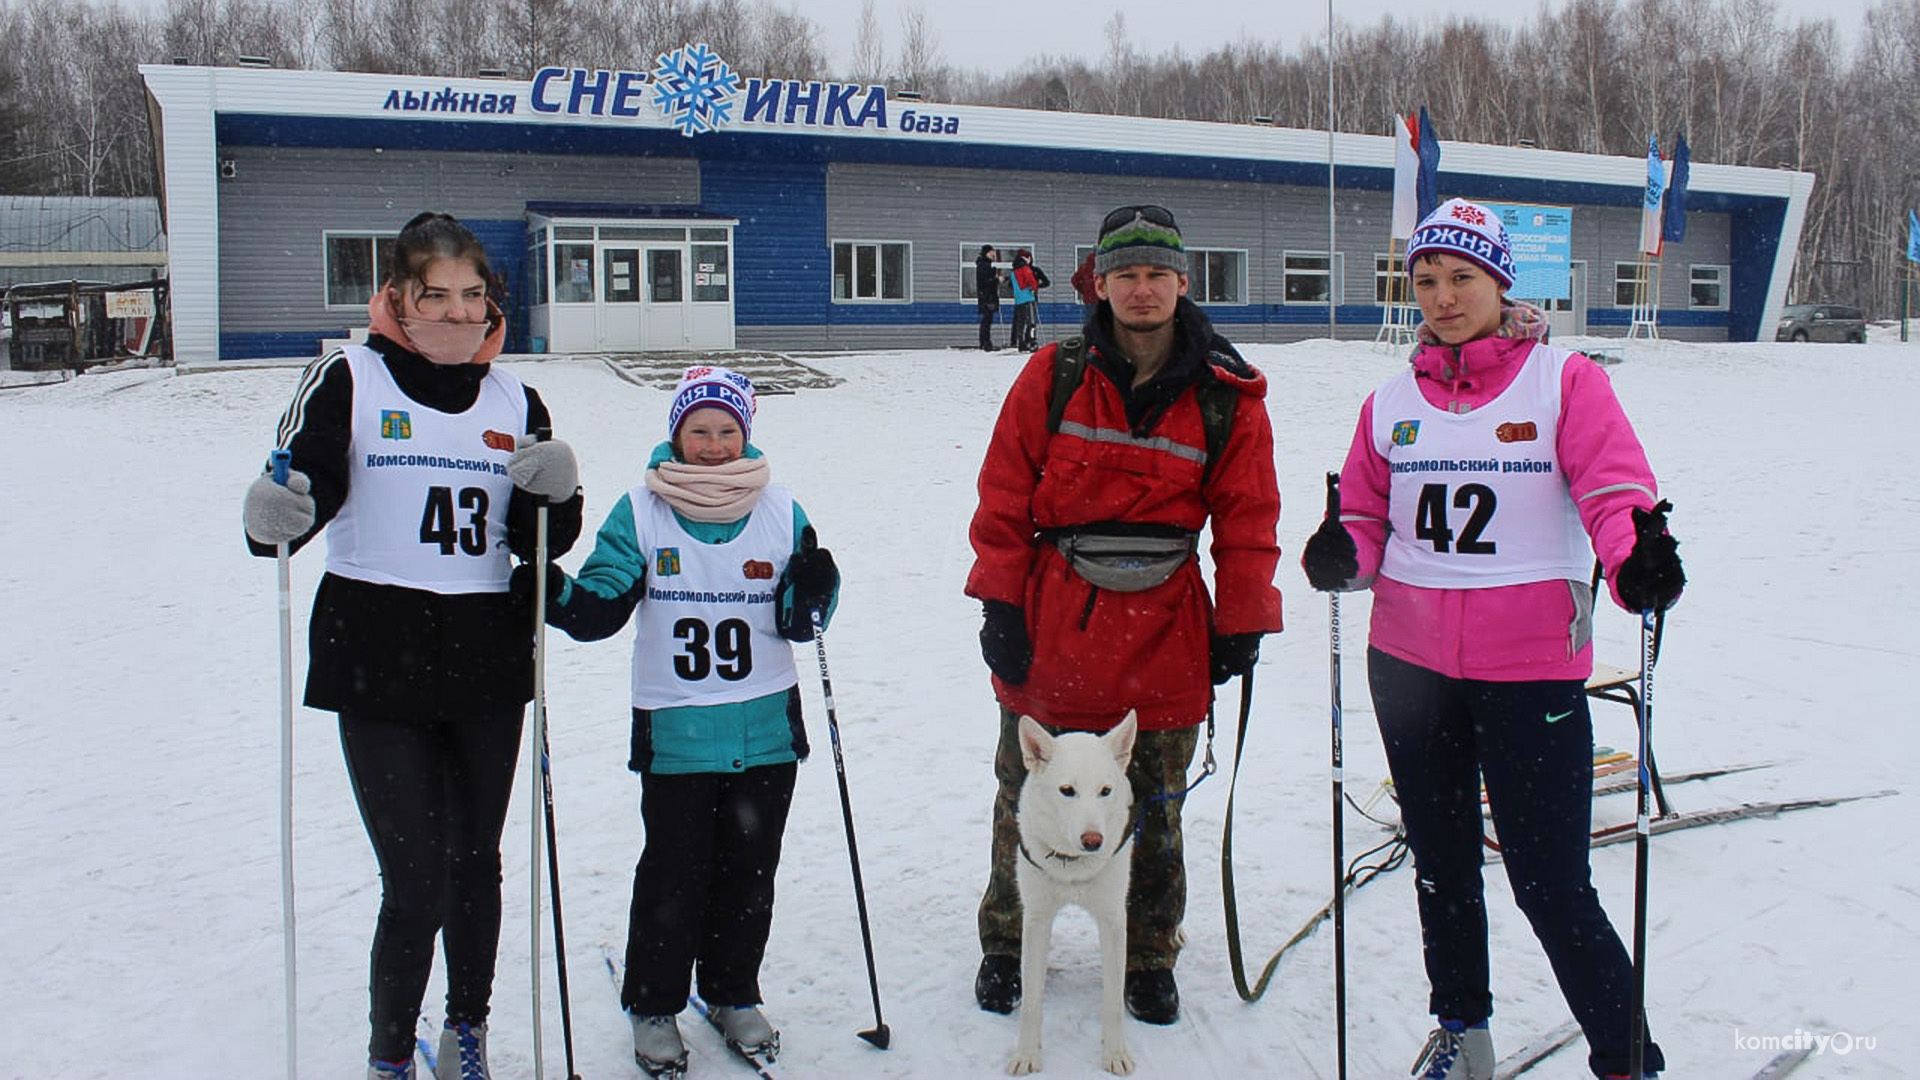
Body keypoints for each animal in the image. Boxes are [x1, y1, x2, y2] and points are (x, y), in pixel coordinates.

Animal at [1006, 711, 1136, 1068]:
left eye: (1105, 791)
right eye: (1067, 790)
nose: (1093, 841)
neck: (1074, 868)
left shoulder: (1113, 919)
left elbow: (1113, 999)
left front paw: (1115, 1053)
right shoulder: (1036, 919)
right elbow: (1031, 1002)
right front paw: (1026, 1054)